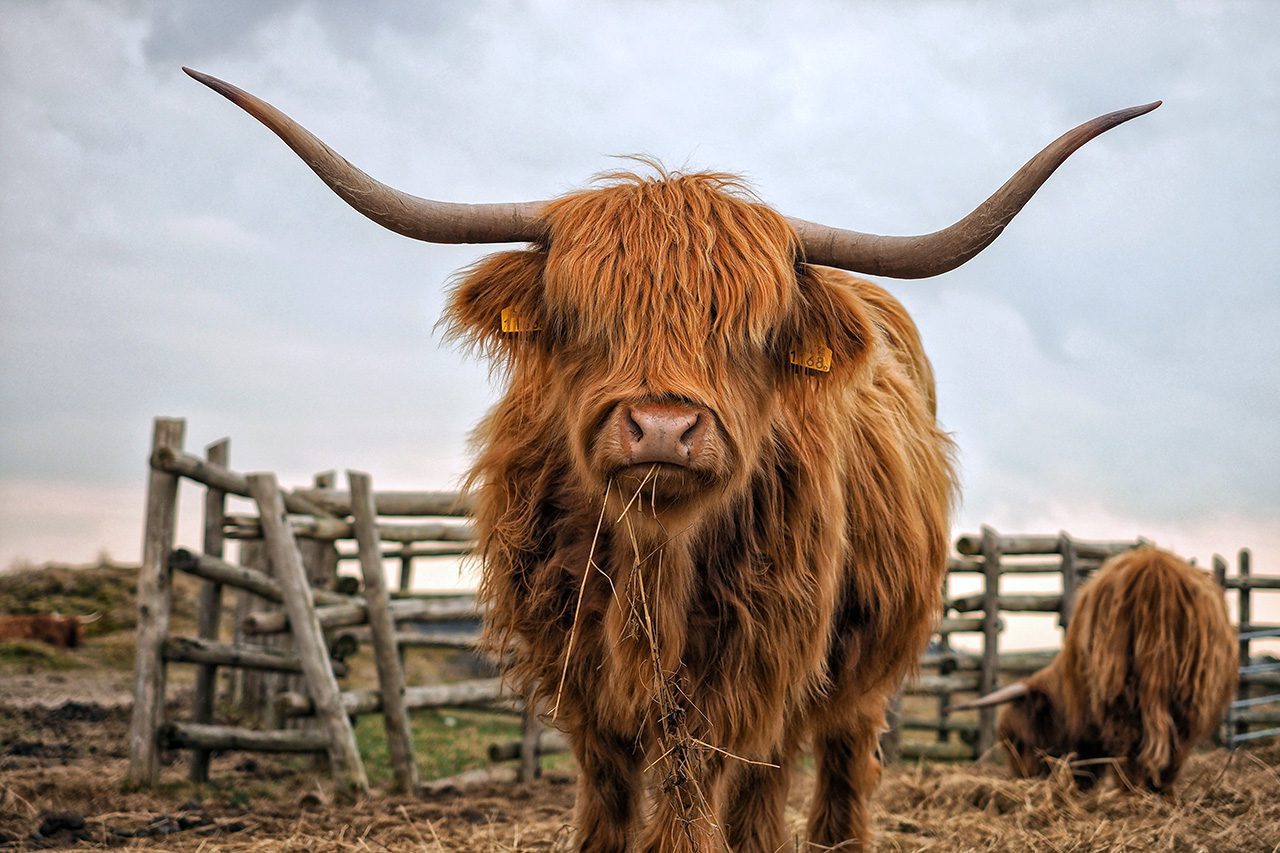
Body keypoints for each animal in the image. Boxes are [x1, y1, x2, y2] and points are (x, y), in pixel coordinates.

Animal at [183, 67, 1158, 850]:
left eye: (750, 330)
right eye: (584, 316)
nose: (661, 427)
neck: (655, 562)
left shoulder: (752, 670)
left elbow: (709, 794)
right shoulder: (577, 673)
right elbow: (610, 794)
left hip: (858, 667)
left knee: (825, 768)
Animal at [951, 546, 1237, 793]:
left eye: (1018, 741)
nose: (1023, 778)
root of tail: (1155, 570)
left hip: (1119, 686)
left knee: (1129, 740)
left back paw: (1130, 790)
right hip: (1189, 689)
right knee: (1176, 742)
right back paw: (1158, 791)